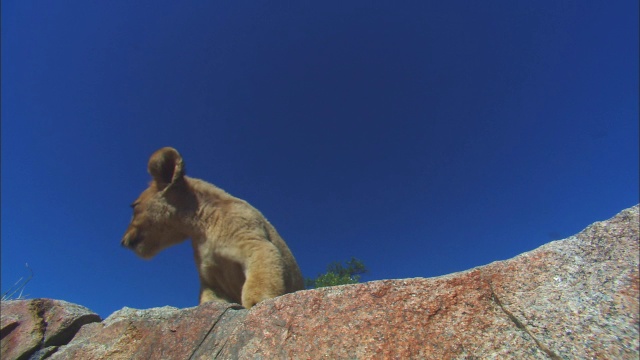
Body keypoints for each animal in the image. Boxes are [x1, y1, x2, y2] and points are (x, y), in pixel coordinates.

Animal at [120, 148, 304, 308]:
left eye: (134, 206)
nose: (122, 241)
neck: (202, 227)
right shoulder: (210, 278)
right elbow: (208, 299)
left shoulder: (256, 242)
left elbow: (261, 277)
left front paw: (256, 303)